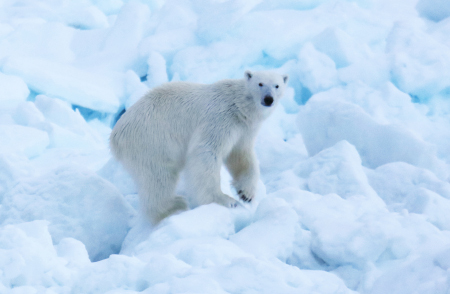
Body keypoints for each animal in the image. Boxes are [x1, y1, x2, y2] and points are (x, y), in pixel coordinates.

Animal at [110, 70, 290, 224]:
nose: (268, 99)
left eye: (277, 85)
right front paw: (225, 200)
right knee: (159, 177)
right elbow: (206, 153)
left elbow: (241, 155)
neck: (238, 104)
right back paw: (174, 205)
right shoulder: (220, 119)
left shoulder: (244, 129)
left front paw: (246, 193)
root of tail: (115, 137)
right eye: (260, 83)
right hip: (152, 141)